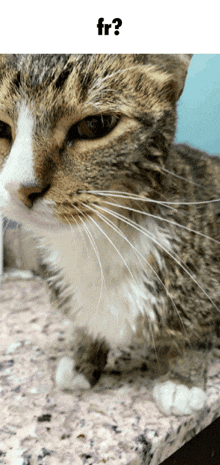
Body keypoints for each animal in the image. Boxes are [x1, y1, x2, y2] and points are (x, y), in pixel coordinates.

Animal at [0, 52, 220, 416]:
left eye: (96, 125)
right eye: (1, 128)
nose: (19, 188)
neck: (98, 240)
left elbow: (197, 332)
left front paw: (183, 379)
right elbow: (86, 325)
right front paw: (83, 358)